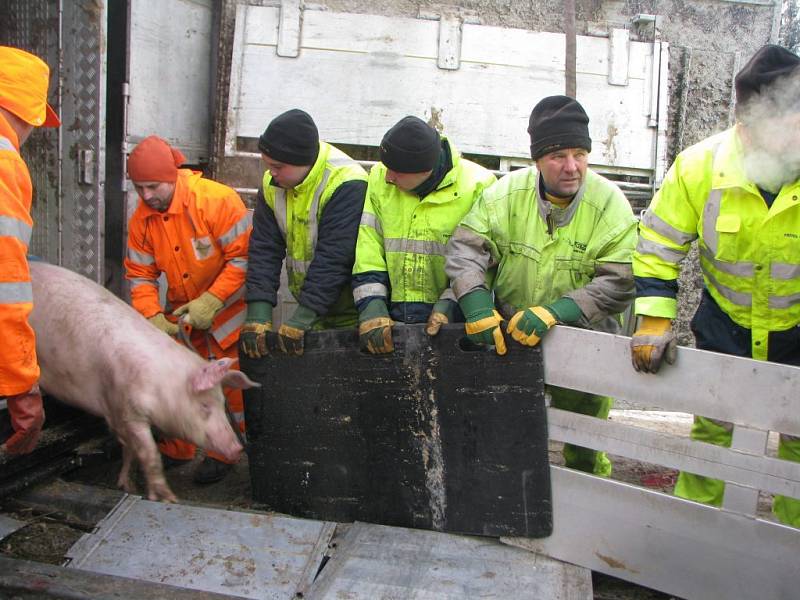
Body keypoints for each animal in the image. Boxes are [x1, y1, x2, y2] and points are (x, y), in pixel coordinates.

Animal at [28, 262, 256, 502]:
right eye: (204, 406)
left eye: (222, 403)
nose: (237, 448)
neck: (163, 383)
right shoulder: (127, 409)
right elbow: (149, 454)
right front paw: (166, 498)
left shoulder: (118, 414)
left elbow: (129, 449)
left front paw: (128, 486)